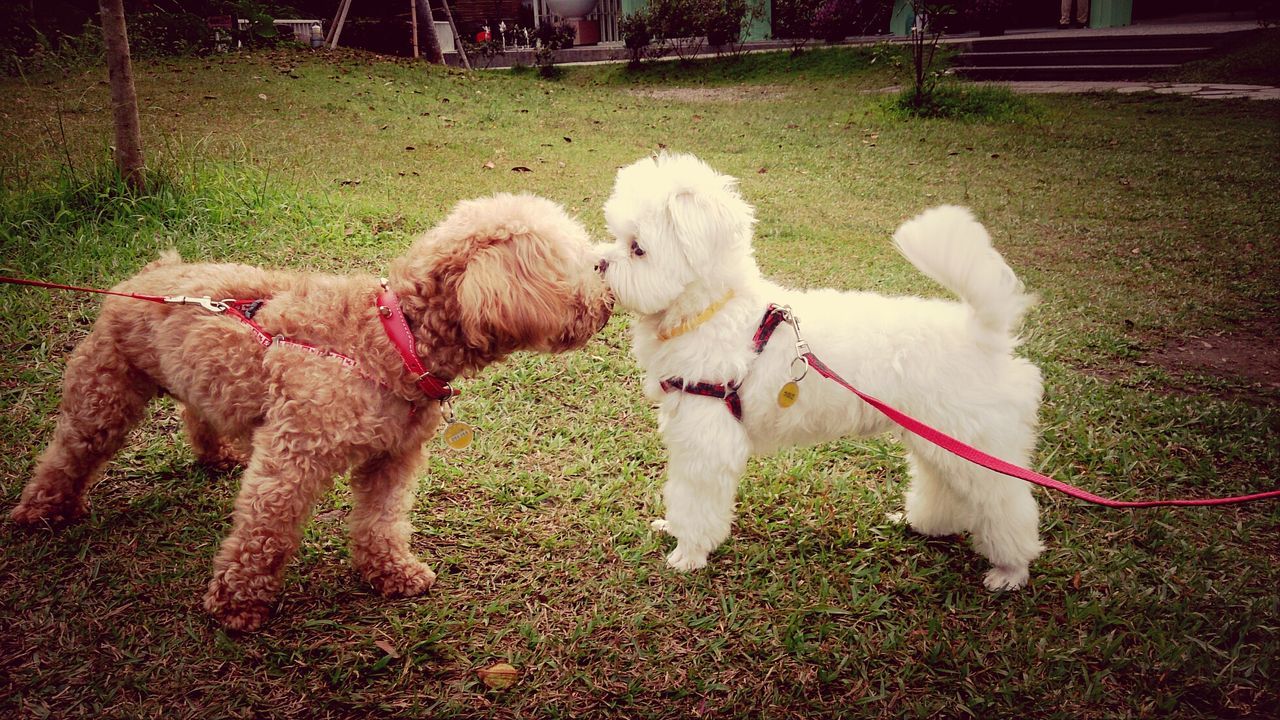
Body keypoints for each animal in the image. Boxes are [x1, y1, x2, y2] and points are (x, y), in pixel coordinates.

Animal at [8, 192, 609, 627]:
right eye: (576, 263)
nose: (607, 298)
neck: (393, 339)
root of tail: (145, 275)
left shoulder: (394, 457)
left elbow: (382, 521)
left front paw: (392, 573)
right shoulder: (291, 458)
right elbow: (266, 533)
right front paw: (238, 604)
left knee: (197, 414)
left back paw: (216, 455)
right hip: (104, 391)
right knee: (69, 452)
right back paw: (41, 512)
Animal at [593, 152, 1044, 589]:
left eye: (637, 248)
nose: (597, 263)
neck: (713, 311)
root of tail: (982, 334)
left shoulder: (707, 439)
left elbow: (694, 500)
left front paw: (687, 554)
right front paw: (672, 530)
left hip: (976, 445)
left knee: (1006, 504)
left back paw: (1011, 570)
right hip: (941, 439)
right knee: (945, 486)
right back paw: (925, 524)